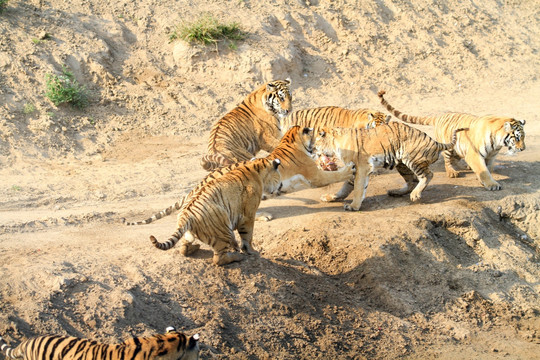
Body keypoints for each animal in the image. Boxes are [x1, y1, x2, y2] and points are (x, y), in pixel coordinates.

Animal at [314, 122, 466, 211]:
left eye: (315, 144)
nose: (311, 150)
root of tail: (434, 141)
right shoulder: (353, 170)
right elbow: (344, 189)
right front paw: (331, 197)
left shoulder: (361, 168)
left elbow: (357, 189)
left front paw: (353, 206)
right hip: (402, 165)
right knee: (412, 181)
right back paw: (396, 192)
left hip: (412, 159)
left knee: (427, 175)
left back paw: (415, 195)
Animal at [378, 89, 524, 191]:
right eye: (517, 137)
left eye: (523, 137)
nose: (523, 148)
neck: (497, 144)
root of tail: (439, 116)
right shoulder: (475, 154)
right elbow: (484, 171)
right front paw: (492, 184)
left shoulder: (491, 156)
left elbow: (486, 168)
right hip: (448, 146)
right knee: (447, 160)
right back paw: (452, 172)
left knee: (456, 158)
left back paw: (464, 166)